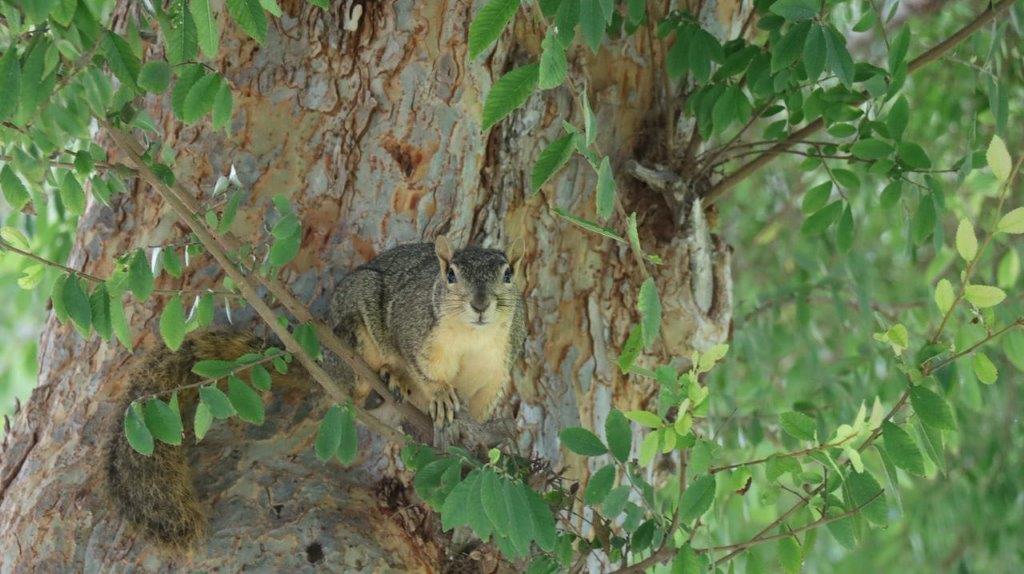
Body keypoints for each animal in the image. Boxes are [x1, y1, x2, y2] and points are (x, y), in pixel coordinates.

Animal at [107, 236, 524, 544]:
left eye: (508, 274)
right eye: (451, 275)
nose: (481, 304)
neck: (473, 336)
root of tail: (325, 360)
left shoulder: (497, 368)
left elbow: (483, 409)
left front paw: (479, 440)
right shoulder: (415, 331)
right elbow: (423, 369)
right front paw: (437, 394)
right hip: (356, 325)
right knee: (361, 378)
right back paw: (391, 379)